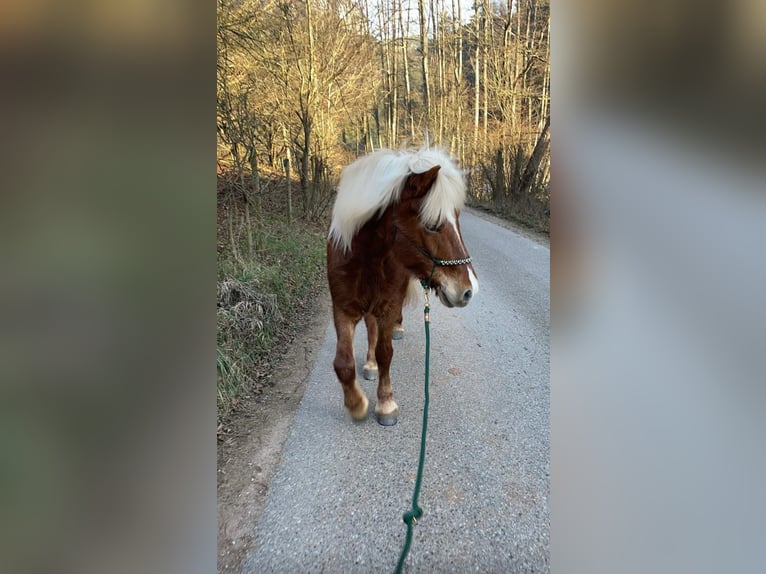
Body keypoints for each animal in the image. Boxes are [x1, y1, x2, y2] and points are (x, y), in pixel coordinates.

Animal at [326, 147, 479, 426]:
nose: (468, 290)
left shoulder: (387, 306)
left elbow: (386, 352)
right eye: (432, 225)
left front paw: (386, 403)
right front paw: (356, 405)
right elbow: (343, 362)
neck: (366, 259)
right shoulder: (342, 309)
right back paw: (369, 364)